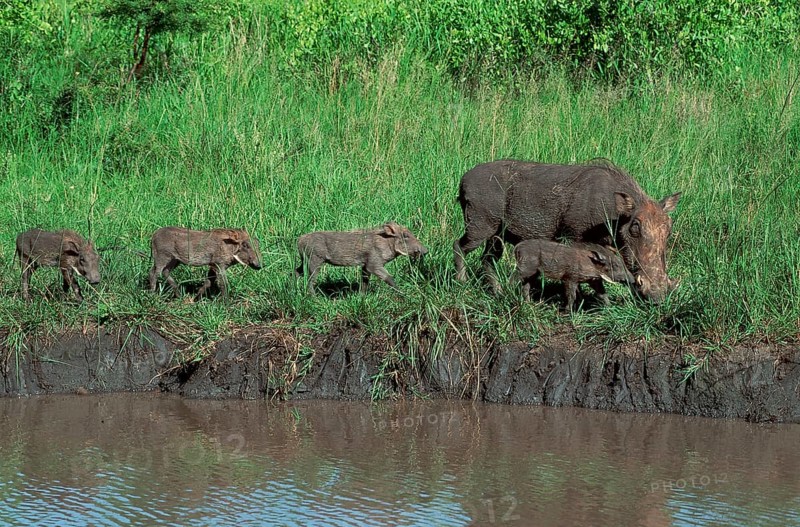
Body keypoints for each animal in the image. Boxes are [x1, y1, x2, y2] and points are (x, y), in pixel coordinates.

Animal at [295, 222, 428, 295]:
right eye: (405, 235)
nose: (426, 251)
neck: (386, 242)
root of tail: (299, 240)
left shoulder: (365, 266)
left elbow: (364, 282)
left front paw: (361, 297)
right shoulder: (374, 264)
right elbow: (389, 278)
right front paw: (403, 294)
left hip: (305, 261)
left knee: (296, 272)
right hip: (315, 261)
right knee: (310, 280)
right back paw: (315, 299)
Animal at [454, 159, 681, 301]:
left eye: (669, 228)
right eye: (635, 227)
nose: (658, 297)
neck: (613, 214)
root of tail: (464, 179)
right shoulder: (573, 237)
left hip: (496, 236)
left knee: (487, 259)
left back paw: (498, 293)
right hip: (480, 225)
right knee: (459, 246)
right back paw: (461, 283)